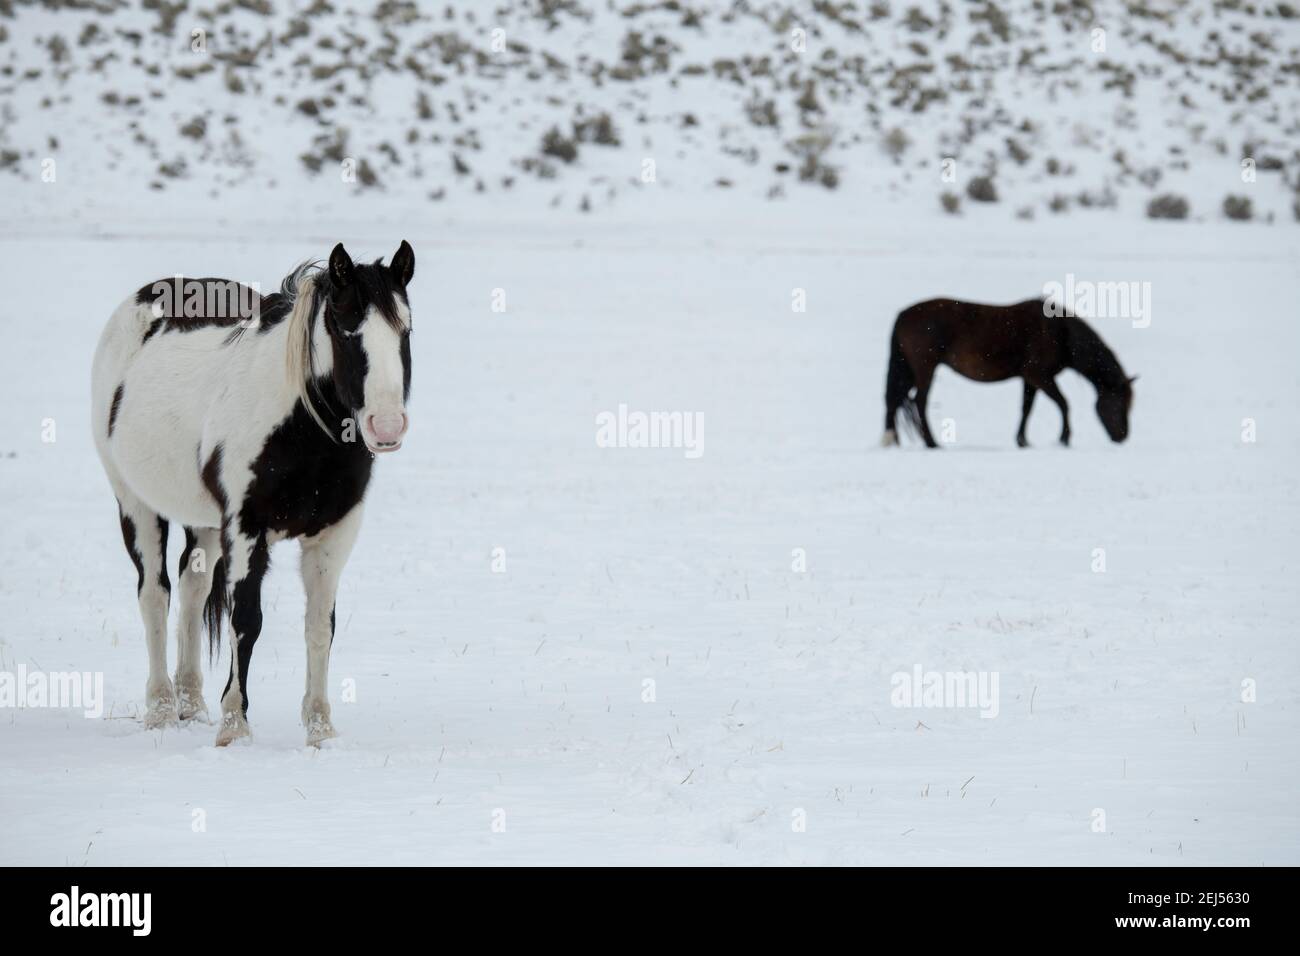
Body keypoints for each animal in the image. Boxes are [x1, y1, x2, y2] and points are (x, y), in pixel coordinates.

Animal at [91, 242, 415, 746]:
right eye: (345, 329)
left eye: (406, 328)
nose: (386, 427)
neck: (300, 428)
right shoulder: (246, 528)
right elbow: (246, 620)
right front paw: (234, 726)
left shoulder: (334, 535)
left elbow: (320, 625)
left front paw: (320, 730)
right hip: (136, 505)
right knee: (155, 595)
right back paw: (161, 709)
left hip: (205, 523)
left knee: (192, 589)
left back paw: (190, 704)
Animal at [881, 297, 1136, 449]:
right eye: (1119, 403)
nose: (1122, 437)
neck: (1061, 333)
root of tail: (903, 315)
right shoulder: (1040, 376)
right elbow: (1063, 403)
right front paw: (1064, 438)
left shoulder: (1030, 379)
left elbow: (1026, 408)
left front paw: (1022, 440)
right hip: (925, 367)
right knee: (919, 401)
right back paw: (931, 442)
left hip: (909, 369)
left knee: (894, 399)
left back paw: (892, 439)